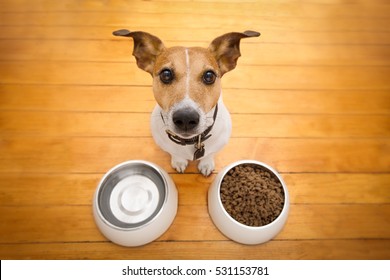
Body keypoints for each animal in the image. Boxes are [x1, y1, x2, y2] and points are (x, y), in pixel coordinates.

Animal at [112, 29, 258, 176]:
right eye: (166, 74)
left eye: (209, 76)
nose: (186, 118)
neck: (191, 142)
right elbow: (175, 154)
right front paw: (179, 161)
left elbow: (209, 154)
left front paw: (206, 164)